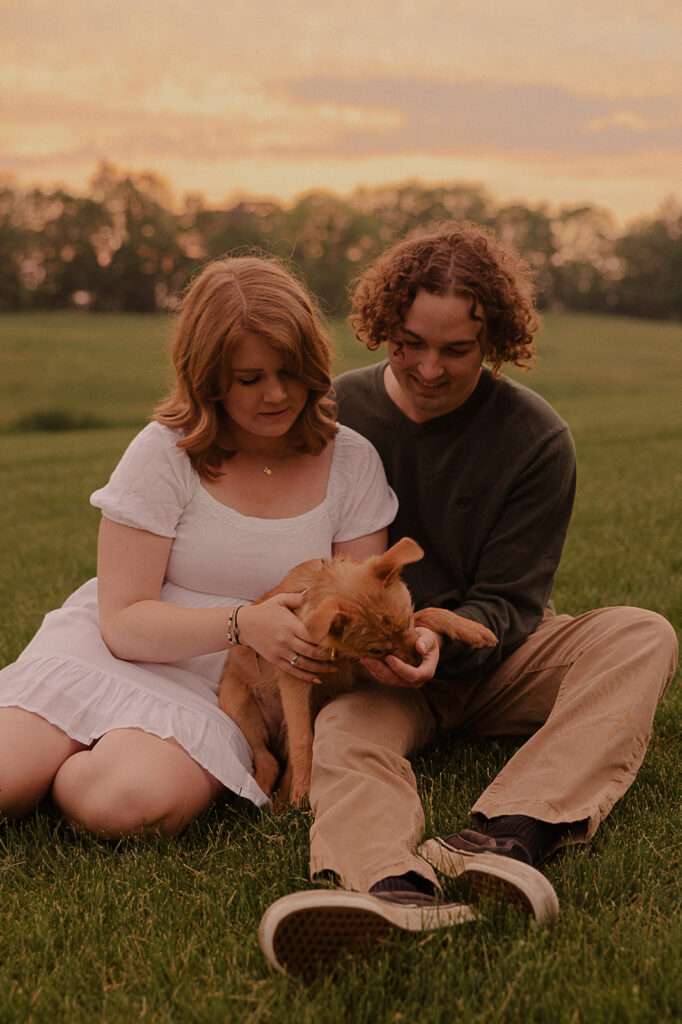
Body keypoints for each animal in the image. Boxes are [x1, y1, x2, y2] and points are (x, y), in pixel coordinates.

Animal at [218, 536, 493, 806]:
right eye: (376, 649)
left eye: (406, 622)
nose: (417, 662)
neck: (338, 653)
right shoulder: (295, 678)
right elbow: (303, 739)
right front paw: (303, 790)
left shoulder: (359, 666)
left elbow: (428, 612)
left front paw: (472, 629)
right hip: (239, 705)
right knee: (268, 760)